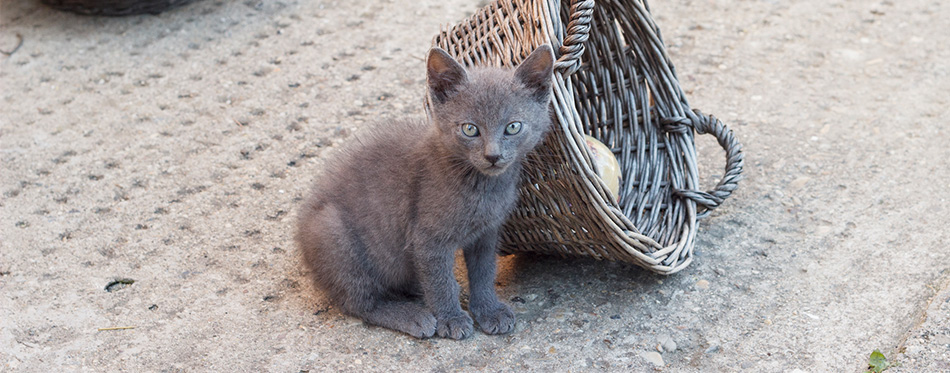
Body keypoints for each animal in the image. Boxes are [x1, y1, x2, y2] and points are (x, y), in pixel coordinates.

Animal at [294, 45, 556, 338]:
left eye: (513, 127)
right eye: (470, 129)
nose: (493, 156)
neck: (482, 187)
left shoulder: (486, 234)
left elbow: (484, 272)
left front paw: (489, 309)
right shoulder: (428, 239)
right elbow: (440, 280)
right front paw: (451, 318)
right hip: (332, 234)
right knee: (360, 302)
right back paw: (412, 316)